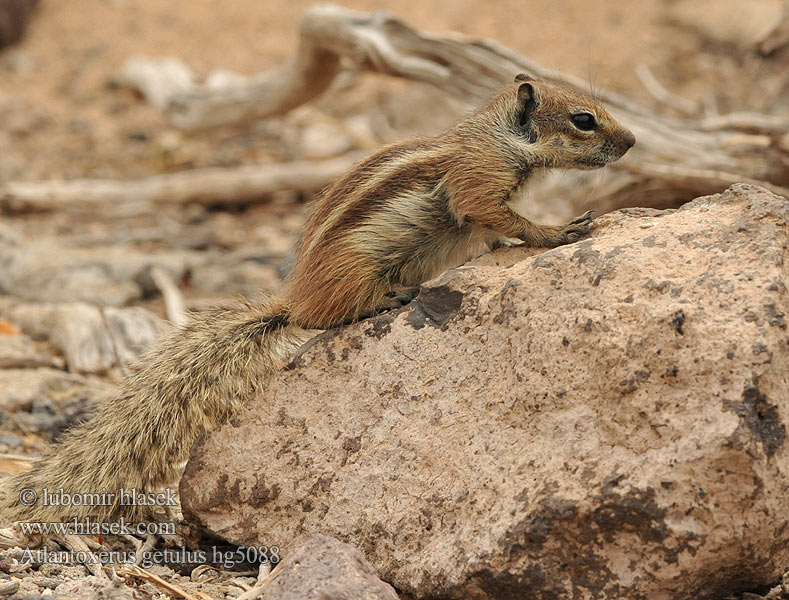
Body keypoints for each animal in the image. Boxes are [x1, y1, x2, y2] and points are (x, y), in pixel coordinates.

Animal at [0, 75, 636, 524]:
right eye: (584, 119)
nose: (632, 141)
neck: (496, 137)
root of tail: (293, 299)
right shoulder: (477, 183)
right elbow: (504, 218)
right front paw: (558, 231)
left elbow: (493, 233)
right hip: (356, 272)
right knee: (327, 316)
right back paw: (388, 299)